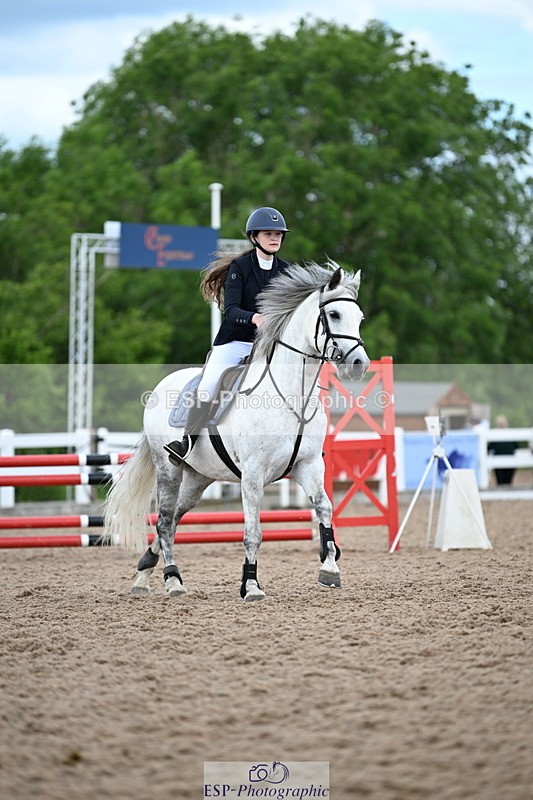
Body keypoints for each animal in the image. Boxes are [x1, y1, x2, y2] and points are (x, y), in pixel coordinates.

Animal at [103, 261, 370, 601]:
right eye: (334, 314)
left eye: (359, 318)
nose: (359, 364)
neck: (290, 396)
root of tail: (162, 386)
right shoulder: (253, 475)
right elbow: (253, 532)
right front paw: (251, 585)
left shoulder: (308, 466)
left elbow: (324, 509)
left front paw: (330, 569)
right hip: (169, 468)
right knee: (164, 520)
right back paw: (172, 579)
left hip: (198, 477)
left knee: (175, 518)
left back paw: (144, 573)